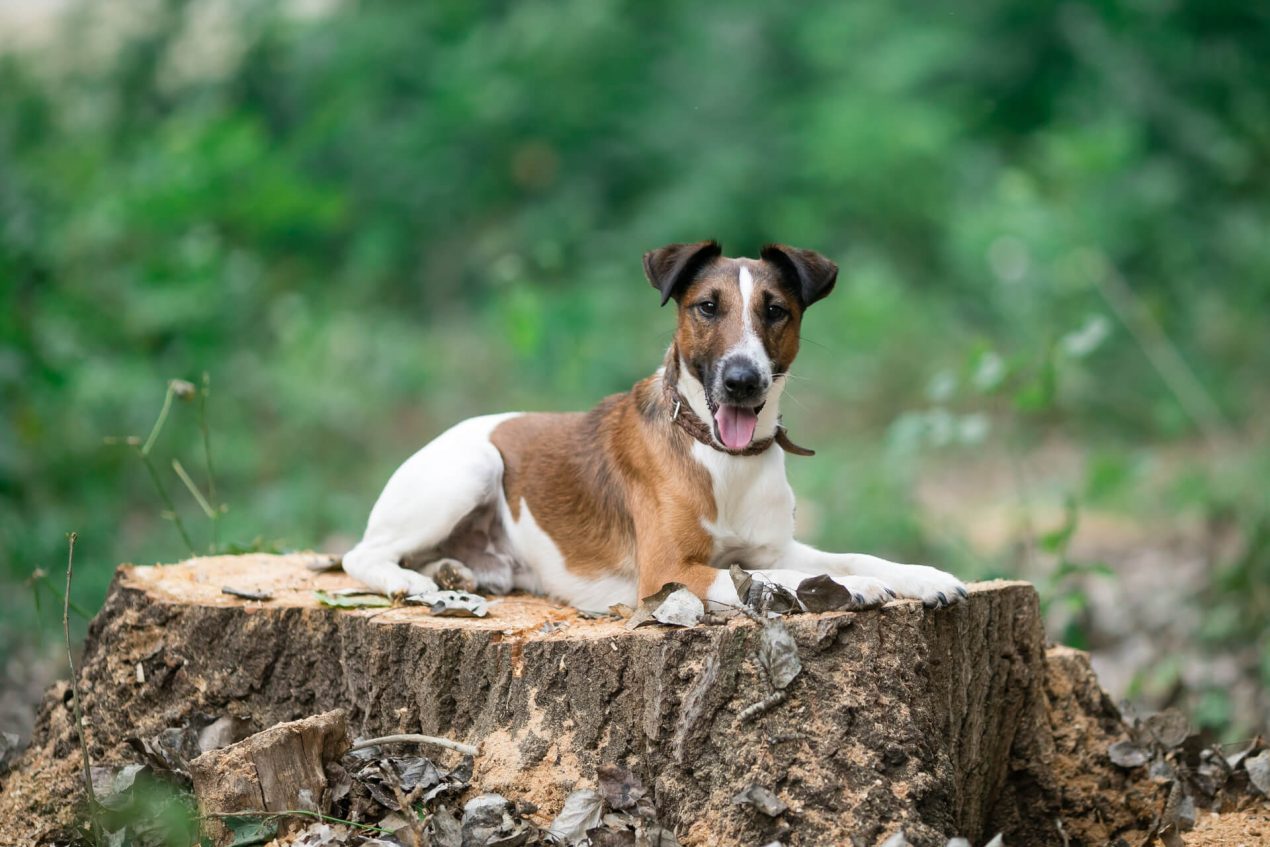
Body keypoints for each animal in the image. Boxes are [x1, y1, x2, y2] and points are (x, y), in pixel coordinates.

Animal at [342, 241, 965, 612]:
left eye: (775, 311)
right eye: (707, 307)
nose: (742, 380)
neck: (720, 457)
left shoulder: (775, 548)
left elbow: (852, 556)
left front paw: (922, 576)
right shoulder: (669, 571)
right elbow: (769, 579)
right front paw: (853, 590)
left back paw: (455, 571)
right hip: (472, 467)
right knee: (360, 555)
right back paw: (410, 581)